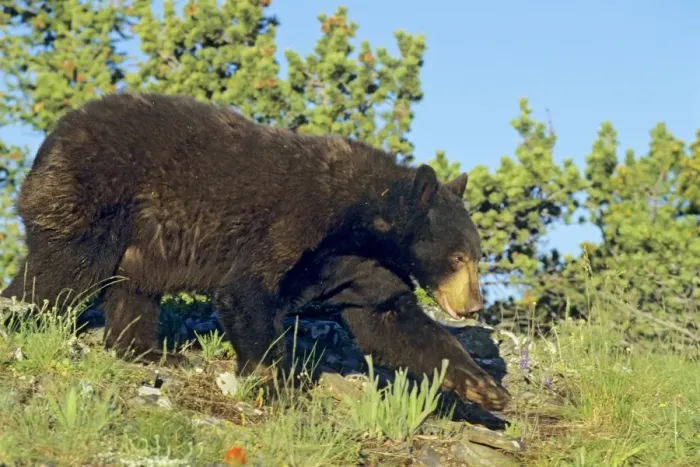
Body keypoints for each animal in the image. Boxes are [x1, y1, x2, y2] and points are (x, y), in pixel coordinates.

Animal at [1, 92, 511, 411]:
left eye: (477, 255)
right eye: (459, 257)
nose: (474, 304)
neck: (361, 220)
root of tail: (55, 134)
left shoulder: (362, 269)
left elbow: (392, 321)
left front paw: (484, 388)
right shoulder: (294, 223)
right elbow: (248, 291)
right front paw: (276, 380)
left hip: (140, 242)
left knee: (133, 289)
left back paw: (151, 352)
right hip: (94, 198)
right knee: (64, 270)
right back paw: (21, 314)